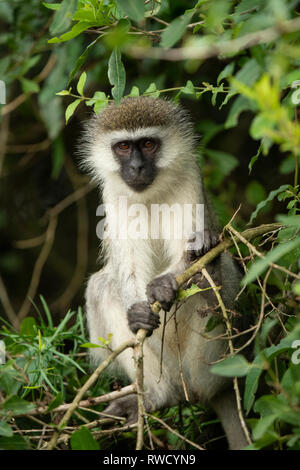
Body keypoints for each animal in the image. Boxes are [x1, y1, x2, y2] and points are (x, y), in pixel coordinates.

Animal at [82, 94, 248, 448]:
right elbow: (128, 269)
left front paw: (166, 283)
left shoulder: (190, 176)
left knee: (215, 273)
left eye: (148, 143)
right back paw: (155, 398)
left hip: (206, 364)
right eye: (124, 147)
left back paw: (211, 277)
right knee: (101, 286)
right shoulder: (113, 195)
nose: (136, 167)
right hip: (167, 367)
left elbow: (189, 251)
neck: (152, 193)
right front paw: (139, 311)